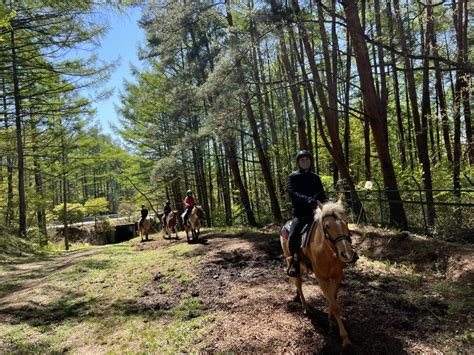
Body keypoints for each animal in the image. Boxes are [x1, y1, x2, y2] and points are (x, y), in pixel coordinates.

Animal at [280, 200, 358, 348]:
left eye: (346, 222)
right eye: (327, 226)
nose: (347, 254)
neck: (327, 252)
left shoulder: (337, 277)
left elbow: (333, 300)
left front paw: (331, 321)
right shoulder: (322, 280)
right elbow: (335, 306)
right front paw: (344, 338)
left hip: (303, 266)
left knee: (297, 283)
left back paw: (297, 297)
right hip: (292, 262)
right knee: (298, 283)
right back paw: (305, 307)